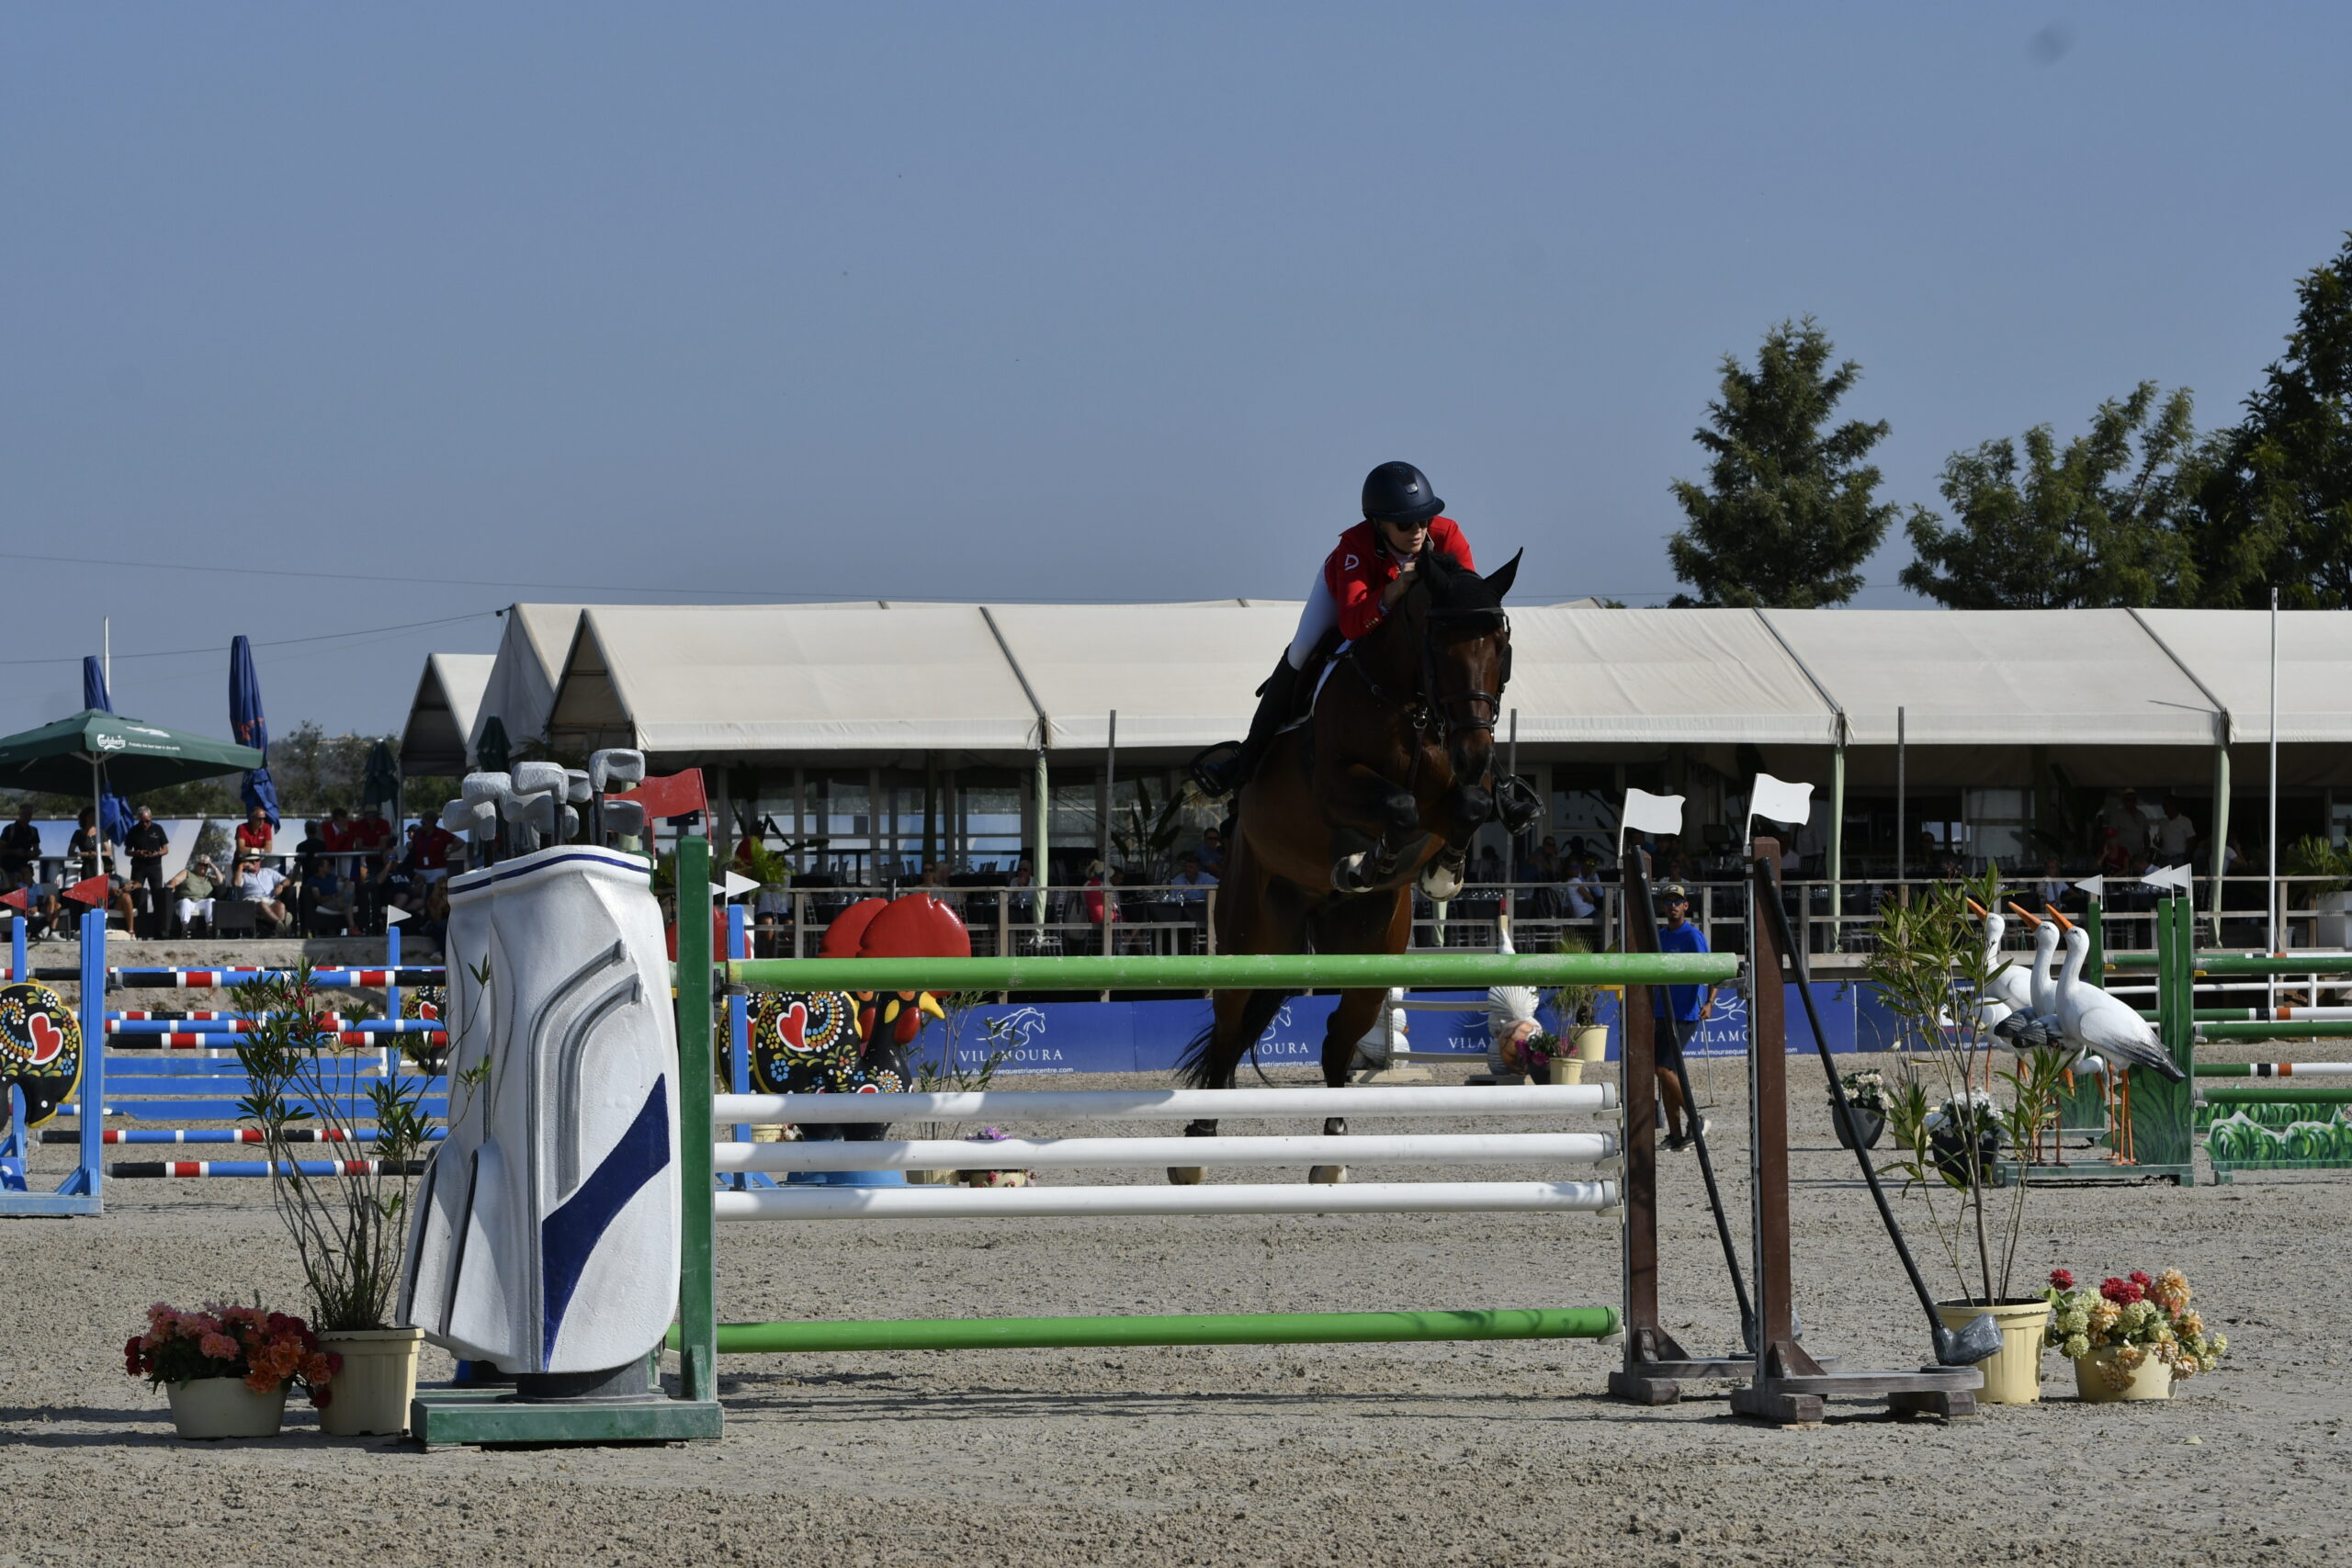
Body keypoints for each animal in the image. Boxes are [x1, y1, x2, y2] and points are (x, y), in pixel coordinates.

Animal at [1173, 547, 1522, 1183]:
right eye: (1439, 644)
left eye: (1501, 646)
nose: (1475, 751)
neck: (1410, 705)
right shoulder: (1336, 787)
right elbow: (1400, 806)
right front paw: (1365, 860)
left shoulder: (1457, 788)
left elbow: (1470, 803)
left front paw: (1441, 872)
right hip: (1251, 932)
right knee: (1230, 1027)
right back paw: (1198, 1144)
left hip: (1368, 953)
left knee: (1338, 1039)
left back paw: (1332, 1152)